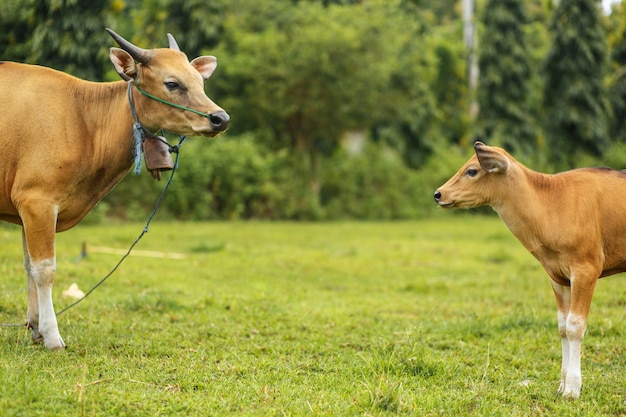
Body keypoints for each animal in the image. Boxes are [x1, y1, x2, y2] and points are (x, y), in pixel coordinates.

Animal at [0, 27, 229, 350]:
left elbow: (29, 266)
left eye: (200, 82)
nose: (220, 118)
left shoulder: (26, 209)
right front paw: (53, 336)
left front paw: (36, 327)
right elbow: (44, 270)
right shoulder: (38, 201)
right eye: (172, 83)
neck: (83, 120)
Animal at [432, 141, 624, 398]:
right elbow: (562, 326)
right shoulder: (558, 276)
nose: (438, 194)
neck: (551, 205)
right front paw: (562, 385)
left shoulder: (586, 269)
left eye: (472, 170)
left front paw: (572, 389)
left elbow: (575, 326)